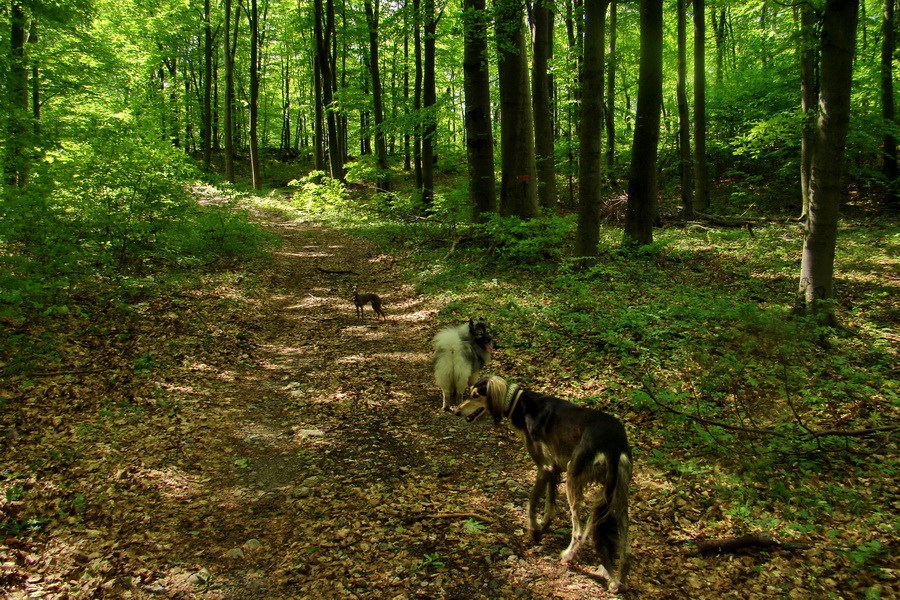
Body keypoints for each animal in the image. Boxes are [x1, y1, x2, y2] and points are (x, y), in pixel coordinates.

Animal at [458, 378, 632, 592]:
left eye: (475, 395)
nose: (456, 411)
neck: (519, 403)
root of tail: (613, 444)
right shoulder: (554, 467)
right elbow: (550, 499)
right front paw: (545, 522)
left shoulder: (545, 466)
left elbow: (532, 501)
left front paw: (533, 529)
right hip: (618, 495)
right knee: (625, 544)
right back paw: (618, 581)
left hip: (574, 477)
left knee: (579, 531)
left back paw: (568, 556)